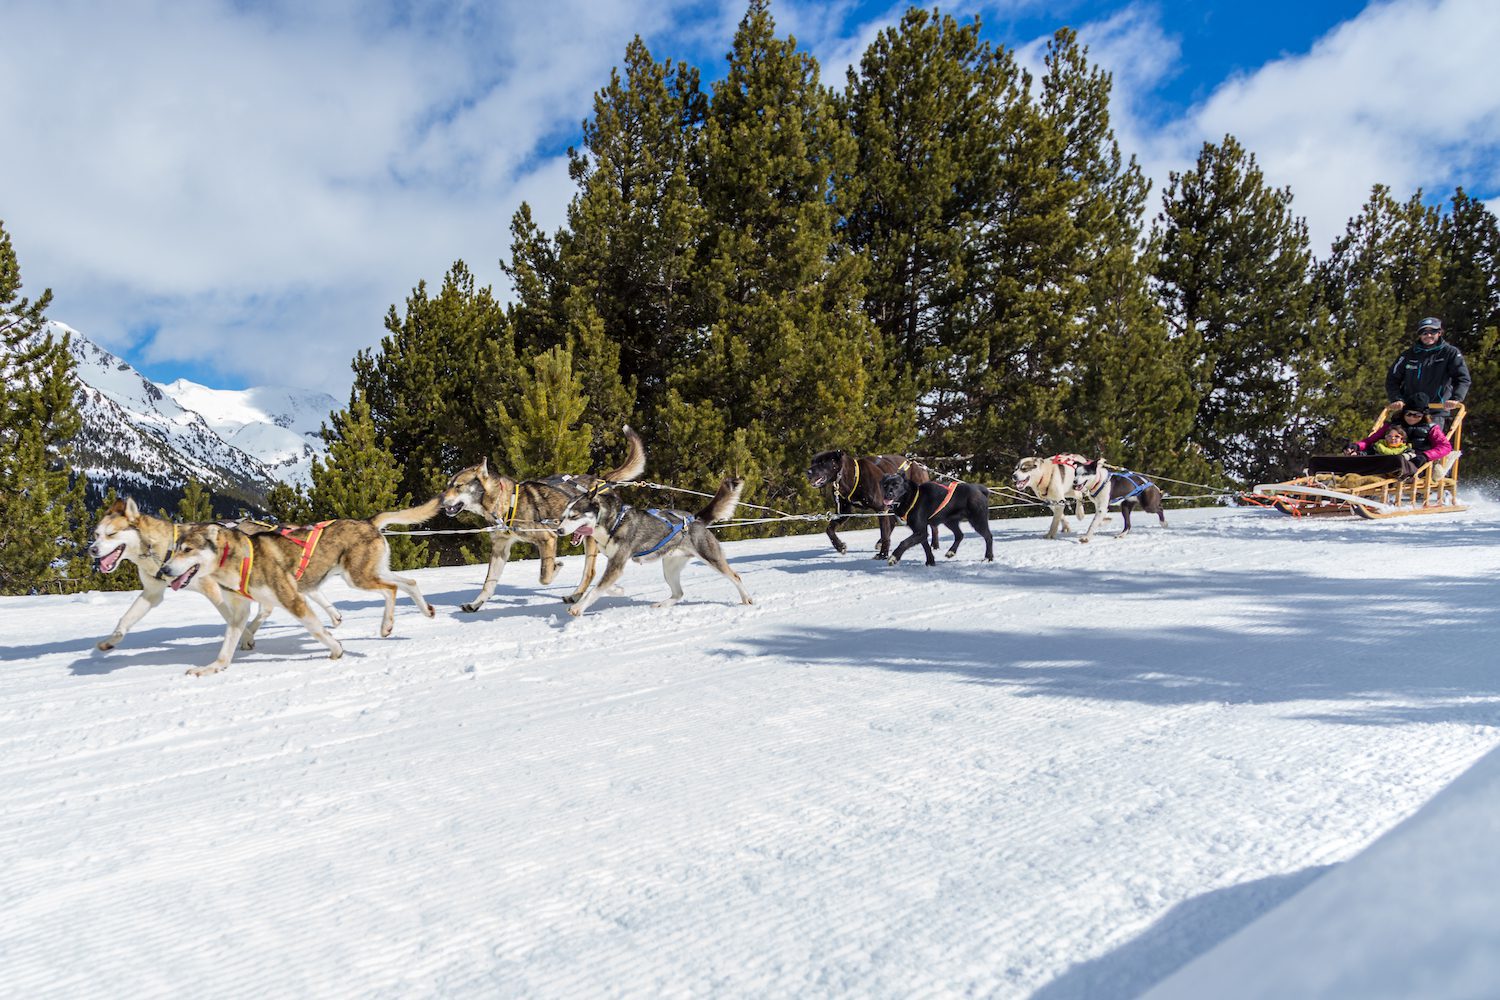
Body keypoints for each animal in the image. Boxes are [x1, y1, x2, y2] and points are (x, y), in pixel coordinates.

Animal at [89, 497, 343, 653]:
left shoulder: (214, 590)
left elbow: (230, 617)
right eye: (96, 534)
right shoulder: (152, 593)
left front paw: (245, 637)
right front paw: (109, 642)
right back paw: (334, 616)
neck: (163, 548)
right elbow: (125, 620)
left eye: (111, 534)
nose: (92, 550)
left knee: (269, 608)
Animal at [159, 521, 435, 677]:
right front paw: (212, 668)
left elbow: (316, 629)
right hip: (367, 573)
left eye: (188, 549)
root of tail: (368, 524)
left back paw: (386, 624)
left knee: (391, 589)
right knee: (408, 583)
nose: (164, 570)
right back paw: (422, 611)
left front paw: (336, 649)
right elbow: (228, 645)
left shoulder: (292, 599)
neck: (236, 557)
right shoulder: (239, 613)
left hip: (358, 577)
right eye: (174, 550)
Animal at [375, 425, 645, 614]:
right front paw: (476, 604)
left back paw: (583, 593)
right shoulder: (500, 549)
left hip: (591, 538)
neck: (505, 505)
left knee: (590, 572)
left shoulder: (547, 539)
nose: (441, 500)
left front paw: (556, 567)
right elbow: (489, 583)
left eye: (458, 486)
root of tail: (600, 481)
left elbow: (544, 575)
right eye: (447, 485)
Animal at [552, 476, 750, 617]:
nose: (559, 530)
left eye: (574, 516)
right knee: (679, 593)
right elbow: (603, 585)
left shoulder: (616, 564)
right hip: (670, 569)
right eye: (563, 516)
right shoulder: (615, 563)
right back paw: (662, 604)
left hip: (711, 557)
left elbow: (594, 590)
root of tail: (695, 519)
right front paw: (617, 590)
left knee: (736, 576)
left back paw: (746, 598)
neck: (614, 522)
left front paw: (578, 608)